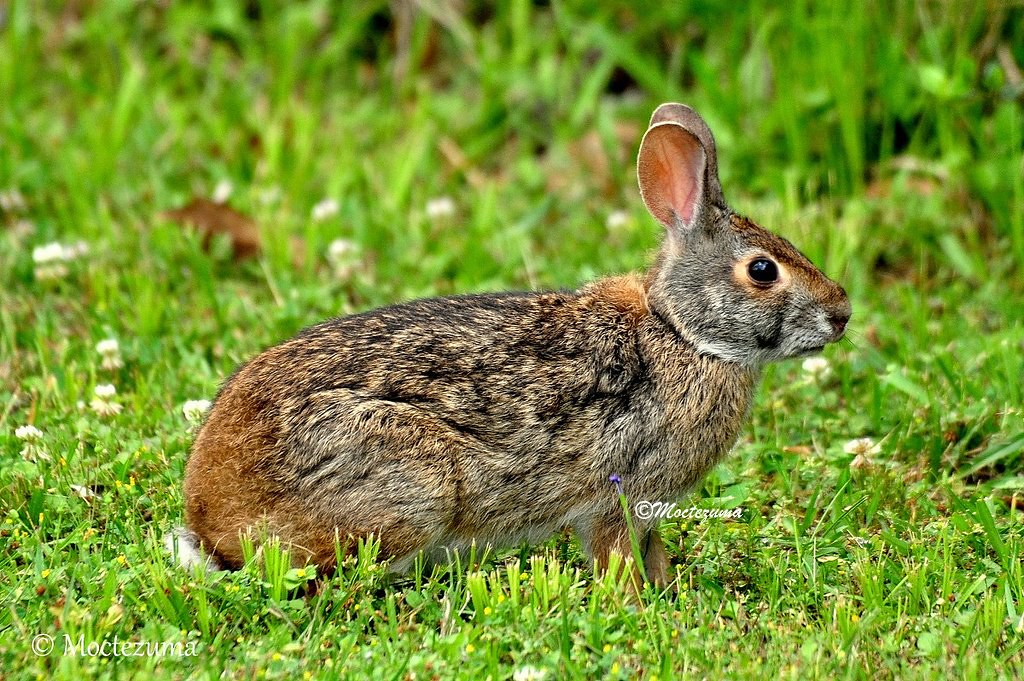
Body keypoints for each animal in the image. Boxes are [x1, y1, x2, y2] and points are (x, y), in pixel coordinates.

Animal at [174, 102, 847, 589]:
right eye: (762, 271)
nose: (841, 314)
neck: (679, 329)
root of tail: (210, 513)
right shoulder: (621, 494)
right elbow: (617, 557)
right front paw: (637, 605)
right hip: (412, 482)